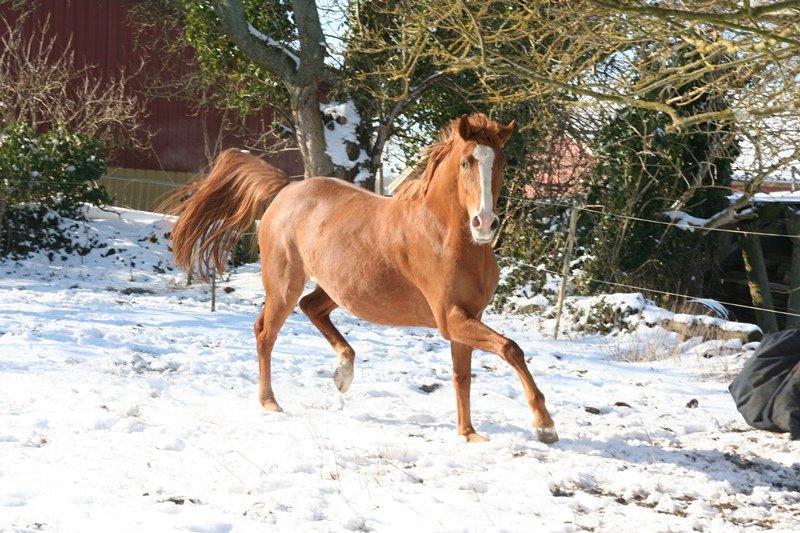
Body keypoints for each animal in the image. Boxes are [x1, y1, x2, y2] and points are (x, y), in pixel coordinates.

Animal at [169, 113, 556, 444]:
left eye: (500, 163)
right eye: (466, 162)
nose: (484, 223)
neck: (446, 236)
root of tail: (286, 190)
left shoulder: (467, 317)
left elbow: (463, 376)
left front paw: (468, 433)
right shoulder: (450, 318)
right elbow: (511, 348)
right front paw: (544, 425)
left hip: (336, 288)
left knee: (311, 308)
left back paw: (343, 373)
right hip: (283, 284)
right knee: (265, 332)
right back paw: (270, 402)